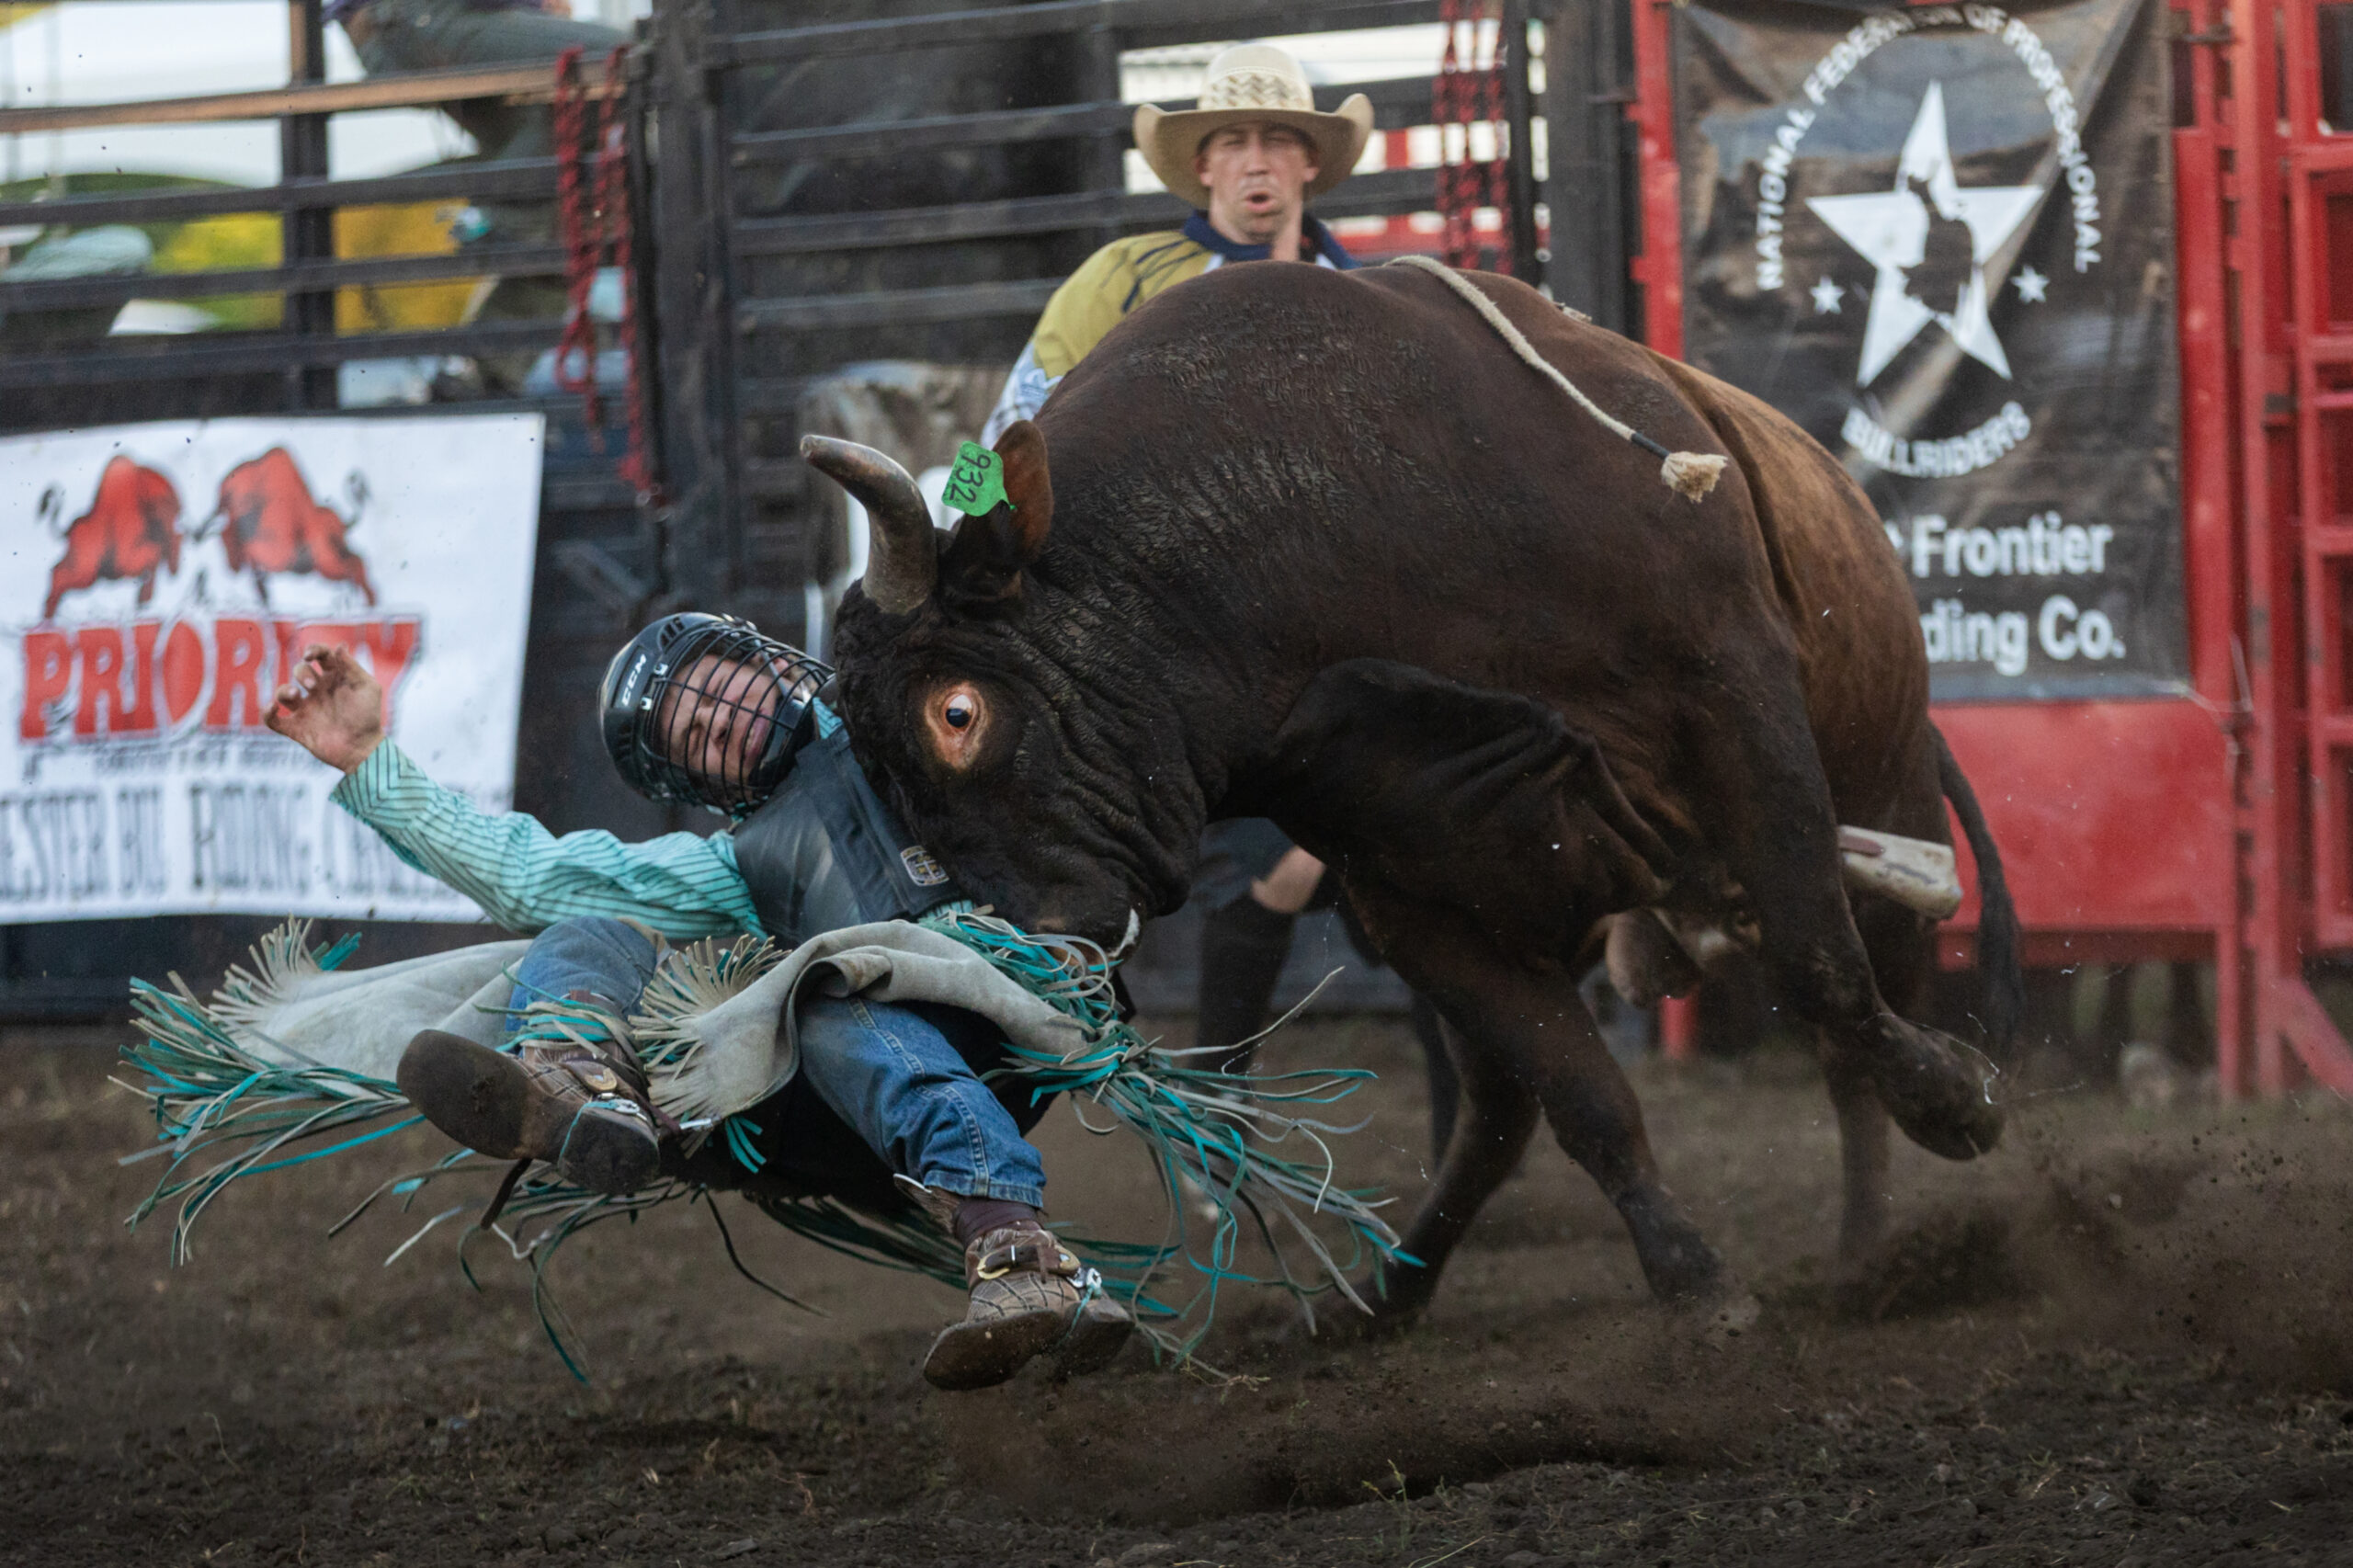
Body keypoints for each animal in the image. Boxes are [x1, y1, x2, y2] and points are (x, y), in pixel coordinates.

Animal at [800, 262, 2014, 1309]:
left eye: (958, 711)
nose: (1022, 955)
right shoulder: (1417, 894)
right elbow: (1583, 1098)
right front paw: (1692, 1280)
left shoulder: (1739, 693)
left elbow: (1822, 968)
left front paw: (1956, 1099)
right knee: (1497, 1114)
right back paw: (1385, 1296)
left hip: (1888, 797)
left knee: (1852, 1015)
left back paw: (1868, 1250)